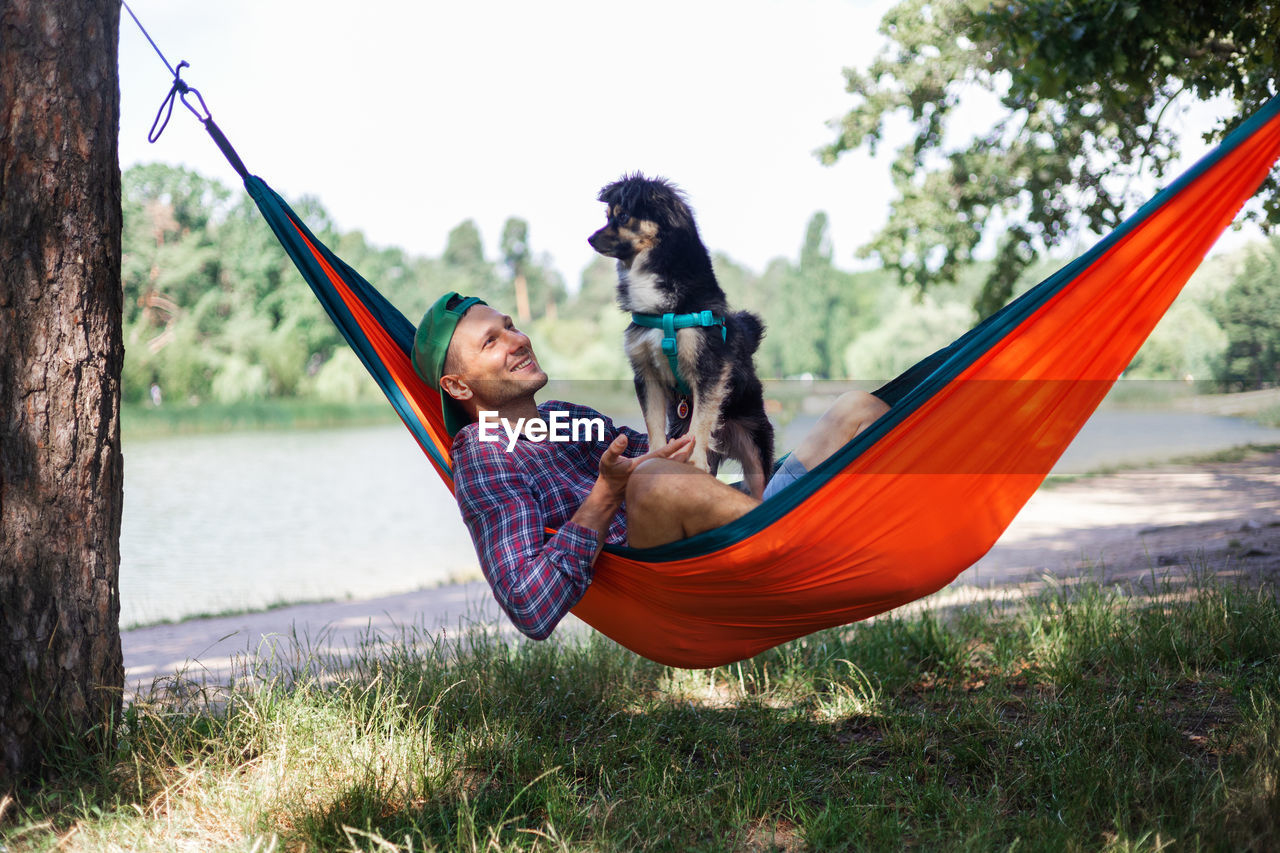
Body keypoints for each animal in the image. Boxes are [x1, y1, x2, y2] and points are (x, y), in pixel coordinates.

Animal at [586, 174, 773, 499]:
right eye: (608, 216)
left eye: (623, 216)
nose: (590, 239)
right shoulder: (645, 374)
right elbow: (653, 422)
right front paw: (655, 456)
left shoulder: (709, 369)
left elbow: (700, 420)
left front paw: (694, 460)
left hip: (755, 447)